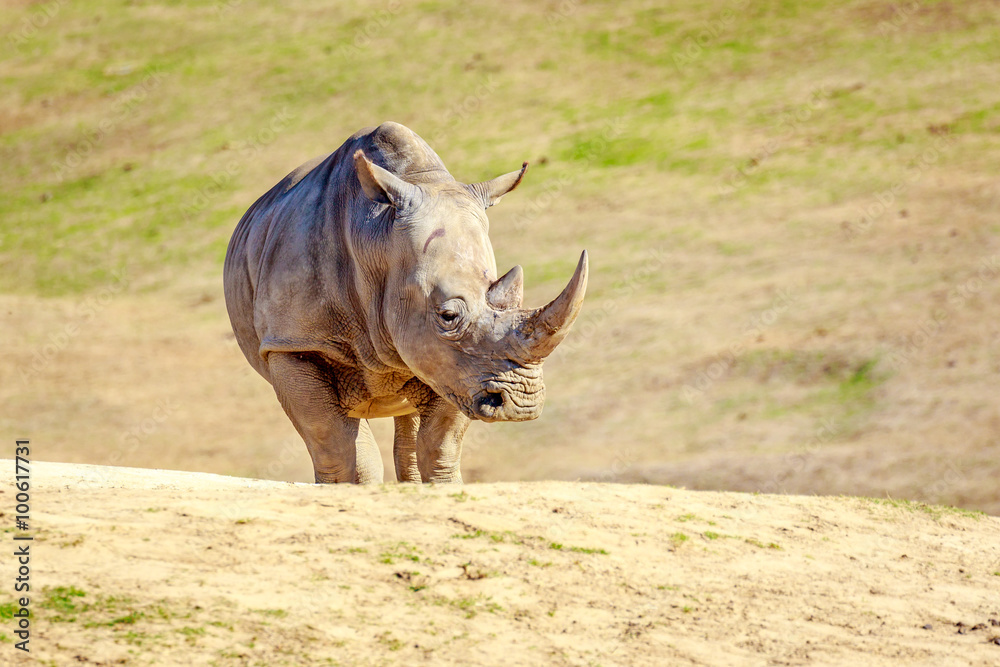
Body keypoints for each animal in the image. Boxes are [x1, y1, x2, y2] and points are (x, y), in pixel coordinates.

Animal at [223, 122, 588, 484]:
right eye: (448, 315)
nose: (522, 403)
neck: (376, 237)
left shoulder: (454, 366)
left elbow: (439, 445)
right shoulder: (292, 342)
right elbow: (338, 448)